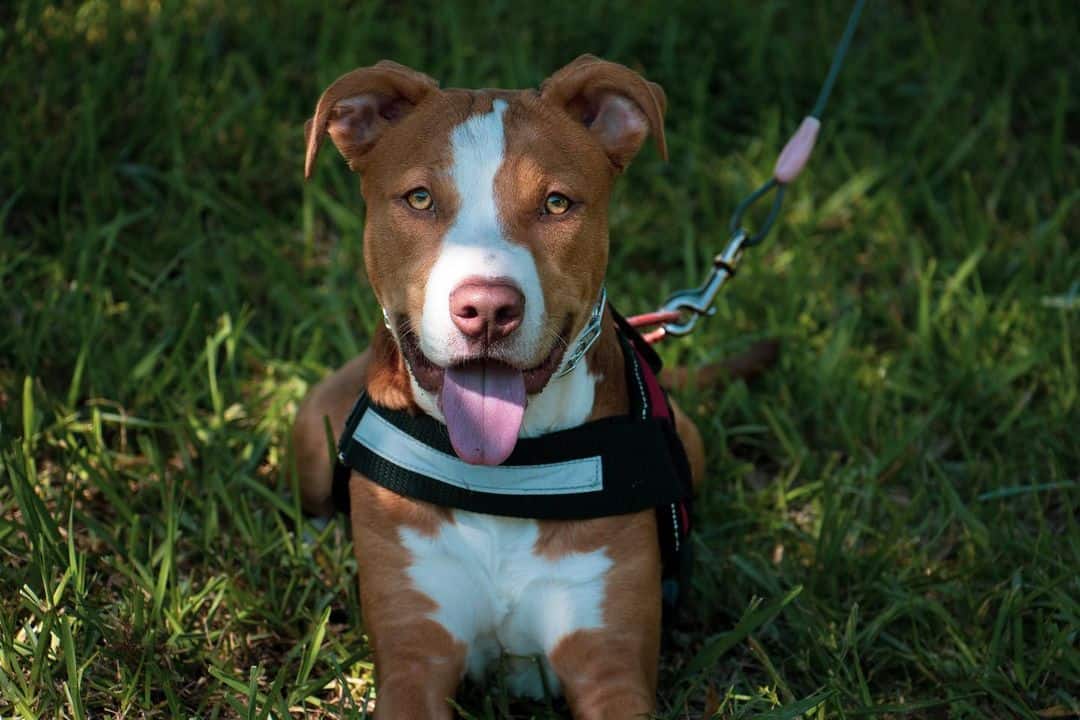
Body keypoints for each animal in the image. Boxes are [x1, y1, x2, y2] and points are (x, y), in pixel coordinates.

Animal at [291, 53, 712, 716]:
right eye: (419, 198)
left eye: (557, 204)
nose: (487, 310)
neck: (504, 474)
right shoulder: (414, 656)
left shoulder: (610, 662)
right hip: (313, 427)